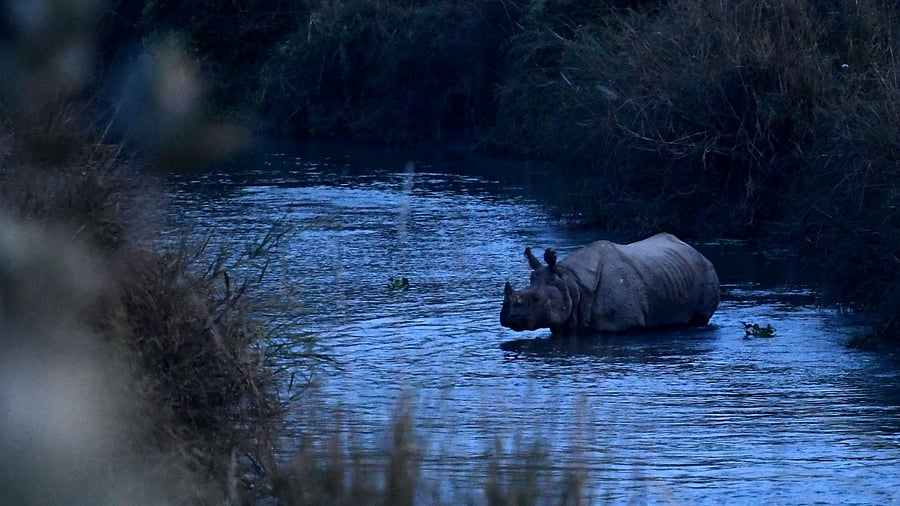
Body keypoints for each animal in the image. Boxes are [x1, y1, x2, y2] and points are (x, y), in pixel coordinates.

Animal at [500, 233, 720, 335]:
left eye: (536, 299)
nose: (506, 318)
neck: (569, 283)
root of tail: (697, 252)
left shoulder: (626, 324)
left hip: (706, 272)